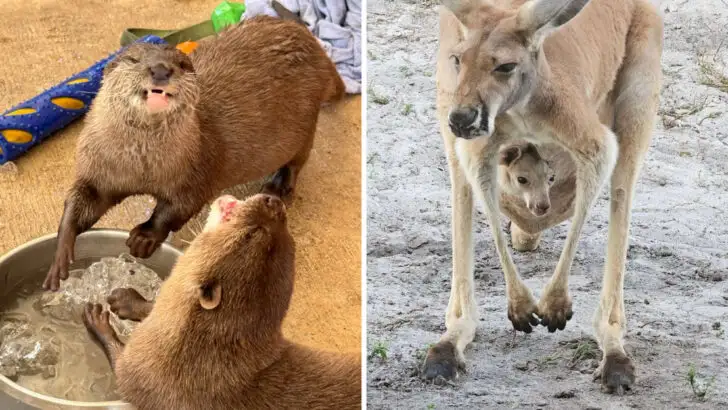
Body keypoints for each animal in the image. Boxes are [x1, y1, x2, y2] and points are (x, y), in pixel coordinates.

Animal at [44, 16, 346, 290]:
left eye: (181, 64)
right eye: (133, 59)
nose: (160, 69)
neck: (141, 167)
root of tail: (317, 49)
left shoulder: (198, 169)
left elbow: (177, 208)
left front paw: (145, 236)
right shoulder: (99, 168)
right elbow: (84, 199)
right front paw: (61, 249)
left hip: (306, 123)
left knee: (297, 159)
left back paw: (278, 186)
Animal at [82, 194, 361, 410]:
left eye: (252, 233)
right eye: (284, 226)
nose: (274, 201)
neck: (199, 351)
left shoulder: (141, 371)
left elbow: (119, 363)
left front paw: (98, 319)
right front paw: (127, 300)